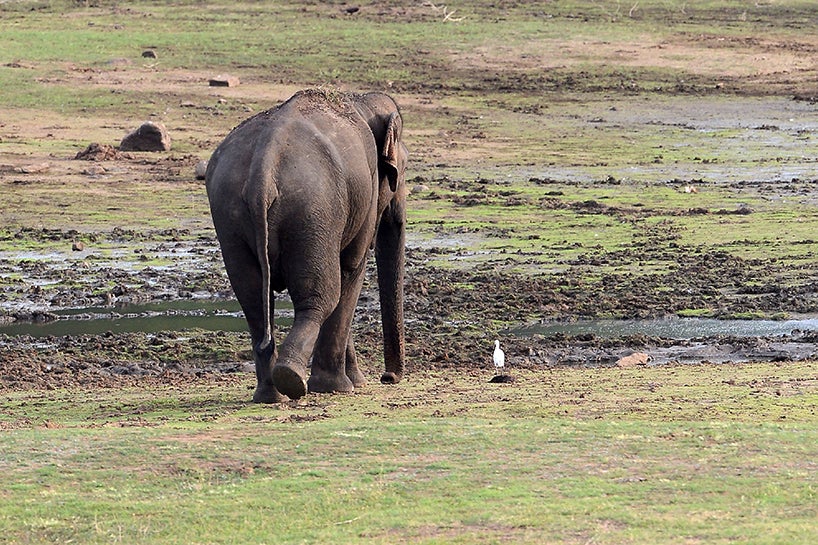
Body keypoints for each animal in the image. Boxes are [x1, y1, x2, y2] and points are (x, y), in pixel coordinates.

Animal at [205, 89, 408, 402]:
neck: (359, 100)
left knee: (253, 301)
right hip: (312, 212)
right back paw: (293, 380)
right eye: (401, 172)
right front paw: (343, 386)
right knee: (322, 294)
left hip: (230, 218)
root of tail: (264, 165)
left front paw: (355, 382)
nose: (388, 378)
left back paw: (270, 394)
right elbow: (351, 269)